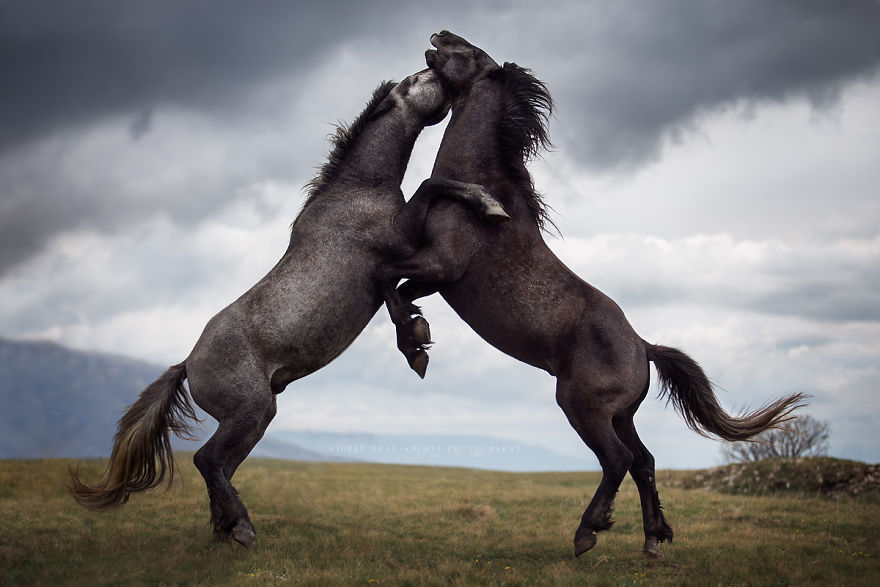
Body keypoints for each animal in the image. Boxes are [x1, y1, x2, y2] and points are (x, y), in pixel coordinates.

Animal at [68, 67, 508, 547]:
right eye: (417, 78)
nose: (444, 74)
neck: (358, 192)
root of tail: (187, 363)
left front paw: (415, 339)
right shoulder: (400, 239)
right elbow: (431, 187)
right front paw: (490, 205)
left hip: (257, 418)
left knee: (222, 467)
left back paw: (227, 529)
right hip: (250, 411)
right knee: (207, 461)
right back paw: (242, 529)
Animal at [378, 32, 807, 558]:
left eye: (471, 53)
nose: (439, 36)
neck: (481, 189)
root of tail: (643, 347)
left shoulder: (441, 265)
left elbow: (386, 276)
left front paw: (415, 344)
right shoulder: (437, 278)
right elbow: (398, 290)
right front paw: (417, 336)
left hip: (582, 407)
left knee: (618, 460)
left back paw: (590, 531)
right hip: (620, 414)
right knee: (644, 461)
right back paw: (652, 540)